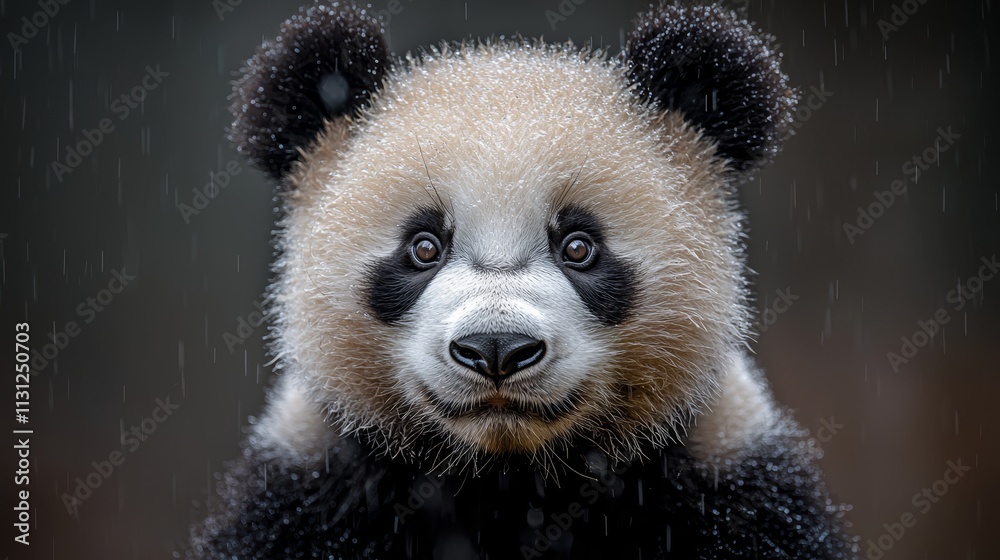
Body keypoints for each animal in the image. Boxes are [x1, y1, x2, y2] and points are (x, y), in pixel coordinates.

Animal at [190, 2, 857, 559]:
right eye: (424, 247)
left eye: (579, 247)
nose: (496, 348)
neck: (510, 478)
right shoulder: (308, 491)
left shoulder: (732, 483)